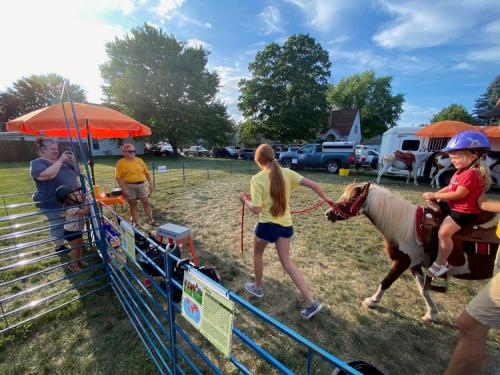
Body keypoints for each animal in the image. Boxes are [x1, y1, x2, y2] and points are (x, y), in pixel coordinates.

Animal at [324, 183, 496, 324]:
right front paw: (431, 314)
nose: (328, 213)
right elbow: (423, 289)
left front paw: (371, 301)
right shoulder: (413, 264)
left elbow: (386, 282)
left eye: (352, 198)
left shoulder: (401, 262)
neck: (409, 227)